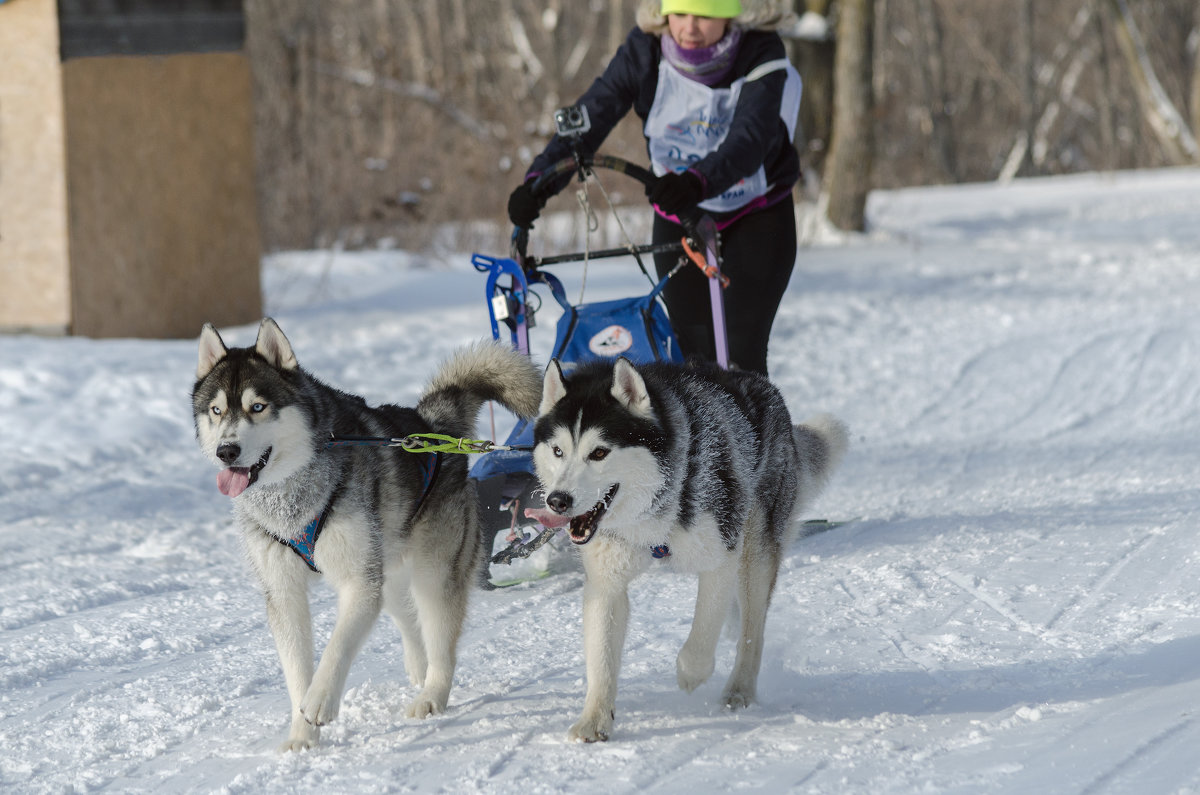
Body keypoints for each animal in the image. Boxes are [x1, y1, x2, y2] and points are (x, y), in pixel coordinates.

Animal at [193, 319, 544, 754]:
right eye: (216, 410)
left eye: (258, 407)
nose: (226, 450)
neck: (291, 494)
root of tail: (432, 427)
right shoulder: (284, 592)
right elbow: (297, 671)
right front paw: (301, 736)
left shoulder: (359, 583)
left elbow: (337, 646)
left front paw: (320, 700)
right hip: (388, 569)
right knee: (408, 619)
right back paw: (418, 667)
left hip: (432, 571)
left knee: (440, 640)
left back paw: (431, 694)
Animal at [528, 357, 854, 744]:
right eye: (558, 451)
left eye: (599, 452)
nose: (558, 500)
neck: (655, 509)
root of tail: (763, 386)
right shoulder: (606, 583)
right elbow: (602, 658)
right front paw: (595, 719)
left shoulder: (722, 556)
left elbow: (702, 634)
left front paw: (690, 673)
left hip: (755, 556)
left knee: (752, 631)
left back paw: (740, 690)